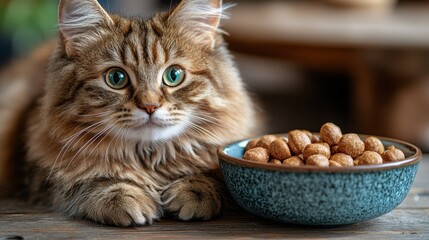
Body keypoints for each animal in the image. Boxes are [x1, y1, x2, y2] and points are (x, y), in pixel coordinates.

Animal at [0, 0, 258, 227]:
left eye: (174, 75)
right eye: (116, 78)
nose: (150, 106)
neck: (149, 158)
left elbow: (207, 173)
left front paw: (195, 191)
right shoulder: (41, 174)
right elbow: (94, 179)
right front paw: (123, 196)